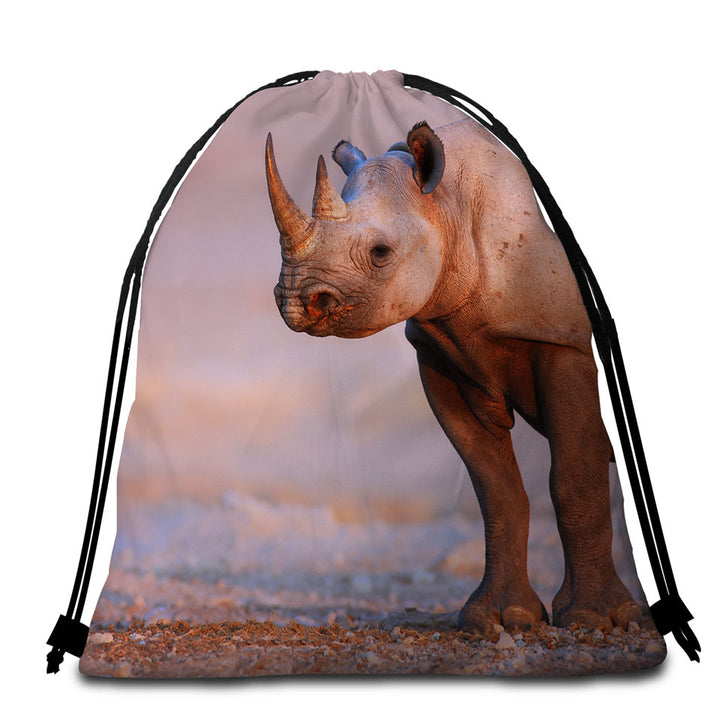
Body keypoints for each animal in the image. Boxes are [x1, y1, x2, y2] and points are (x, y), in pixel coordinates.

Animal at [264, 118, 644, 634]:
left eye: (380, 252)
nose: (297, 303)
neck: (447, 207)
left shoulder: (561, 342)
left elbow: (574, 475)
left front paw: (594, 619)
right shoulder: (439, 352)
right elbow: (494, 486)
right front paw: (501, 619)